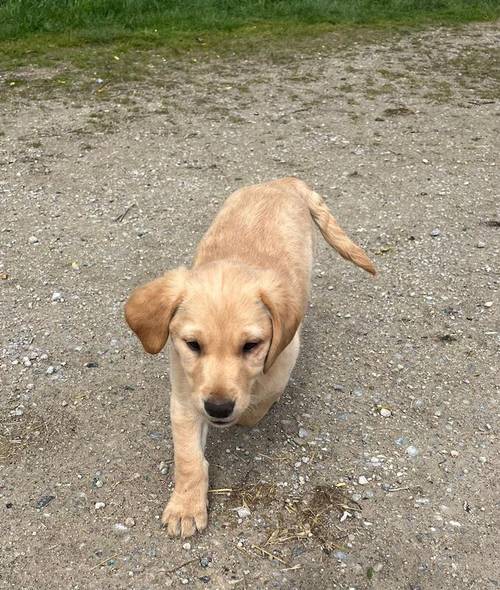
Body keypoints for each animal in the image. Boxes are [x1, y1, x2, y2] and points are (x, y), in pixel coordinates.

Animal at [125, 175, 376, 536]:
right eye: (193, 344)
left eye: (251, 346)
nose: (218, 408)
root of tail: (283, 181)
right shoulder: (185, 394)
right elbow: (187, 457)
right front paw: (186, 505)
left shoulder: (281, 363)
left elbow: (257, 405)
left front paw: (243, 415)